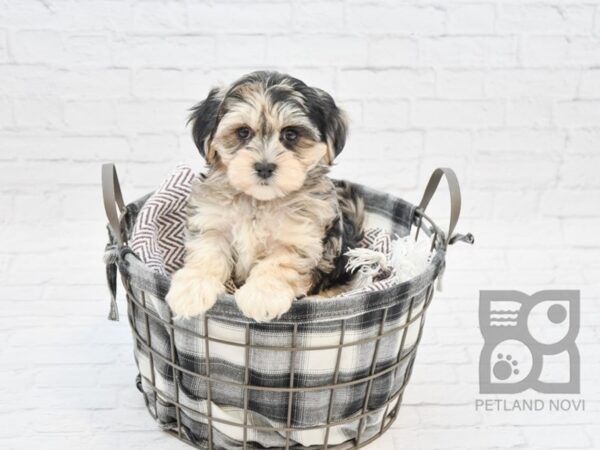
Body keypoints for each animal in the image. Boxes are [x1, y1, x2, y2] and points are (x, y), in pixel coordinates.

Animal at [165, 70, 366, 322]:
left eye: (291, 134)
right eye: (243, 132)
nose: (264, 167)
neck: (258, 200)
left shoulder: (298, 237)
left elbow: (278, 264)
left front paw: (263, 295)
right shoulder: (212, 223)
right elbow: (207, 253)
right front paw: (192, 289)